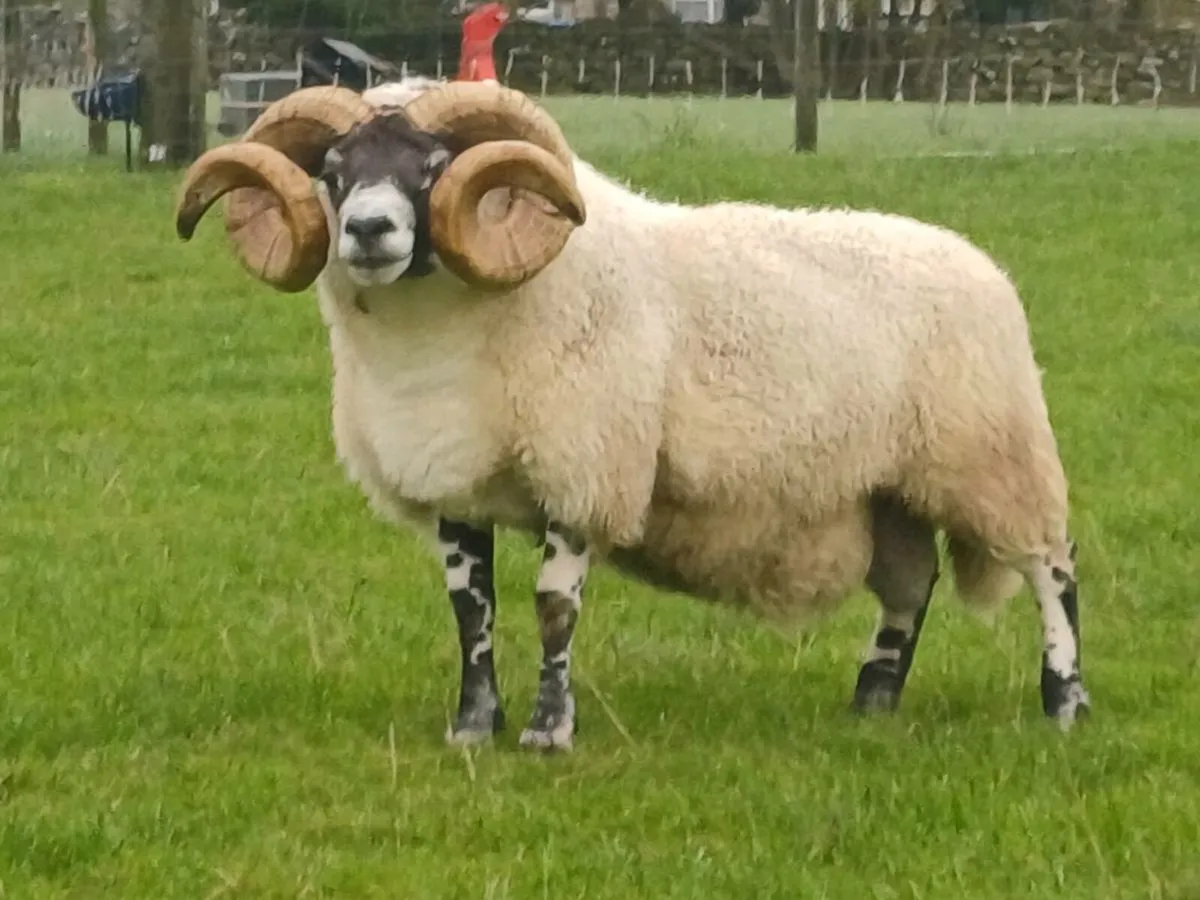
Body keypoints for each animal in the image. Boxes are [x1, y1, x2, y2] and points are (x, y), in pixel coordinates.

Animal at [173, 78, 1092, 751]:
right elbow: (472, 611)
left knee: (1052, 569)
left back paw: (1066, 703)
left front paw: (548, 734)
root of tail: (980, 264)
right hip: (884, 484)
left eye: (432, 165)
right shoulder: (455, 481)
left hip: (991, 458)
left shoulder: (585, 467)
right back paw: (873, 701)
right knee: (909, 587)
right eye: (333, 168)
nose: (367, 231)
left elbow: (553, 607)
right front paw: (472, 728)